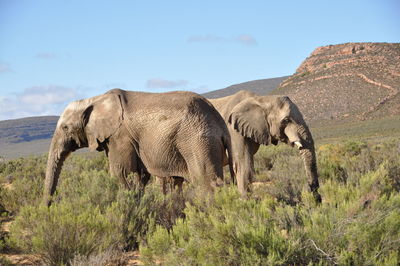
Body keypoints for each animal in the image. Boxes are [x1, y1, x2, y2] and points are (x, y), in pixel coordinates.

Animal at [42, 89, 233, 206]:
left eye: (65, 128)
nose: (47, 208)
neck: (93, 100)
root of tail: (221, 125)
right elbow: (141, 175)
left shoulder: (120, 136)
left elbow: (120, 172)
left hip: (197, 141)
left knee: (206, 181)